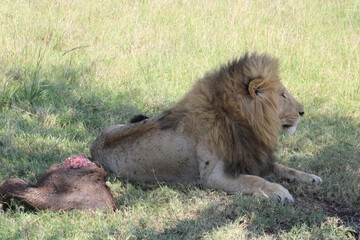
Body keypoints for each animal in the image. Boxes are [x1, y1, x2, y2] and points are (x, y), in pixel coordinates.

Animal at [90, 53, 320, 202]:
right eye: (283, 95)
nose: (303, 112)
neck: (242, 123)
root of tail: (94, 144)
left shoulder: (253, 156)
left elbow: (284, 167)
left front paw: (310, 177)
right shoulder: (213, 176)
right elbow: (255, 181)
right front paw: (281, 191)